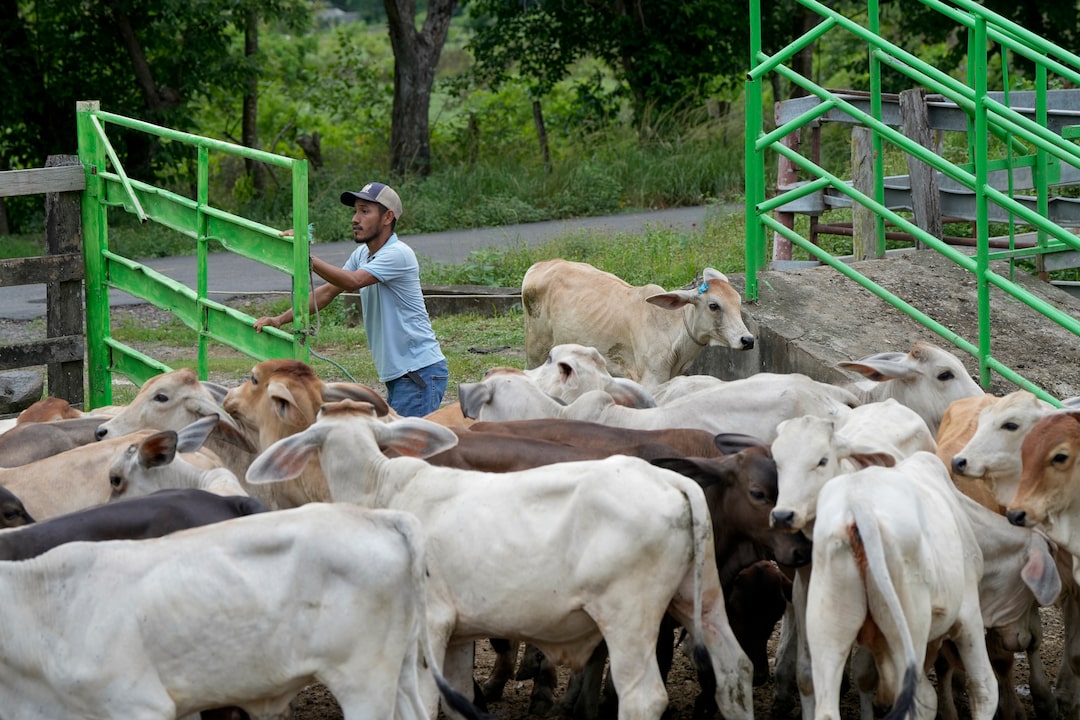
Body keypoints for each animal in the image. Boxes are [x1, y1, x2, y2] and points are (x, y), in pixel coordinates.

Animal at [245, 399, 756, 720]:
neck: (382, 487)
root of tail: (671, 480)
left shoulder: (430, 623)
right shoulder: (455, 634)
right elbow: (457, 700)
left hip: (628, 617)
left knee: (643, 698)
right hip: (702, 600)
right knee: (736, 671)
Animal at [521, 259, 754, 389]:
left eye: (738, 302)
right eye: (714, 305)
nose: (748, 339)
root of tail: (539, 265)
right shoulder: (651, 380)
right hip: (535, 350)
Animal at [807, 451, 998, 720]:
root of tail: (859, 501)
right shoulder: (968, 613)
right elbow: (984, 688)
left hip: (827, 628)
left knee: (827, 709)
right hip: (910, 627)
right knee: (917, 702)